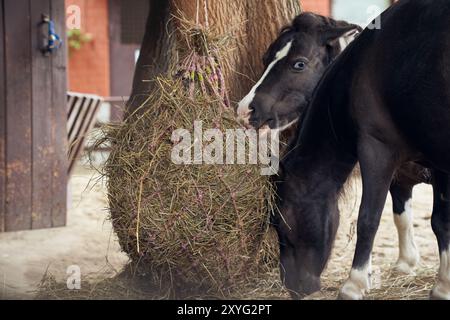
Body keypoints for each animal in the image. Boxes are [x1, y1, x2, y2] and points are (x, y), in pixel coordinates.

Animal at [239, 0, 450, 300]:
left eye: (299, 64)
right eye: (266, 58)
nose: (245, 110)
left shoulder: (382, 151)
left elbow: (372, 219)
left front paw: (355, 283)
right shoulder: (412, 170)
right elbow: (410, 217)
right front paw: (411, 268)